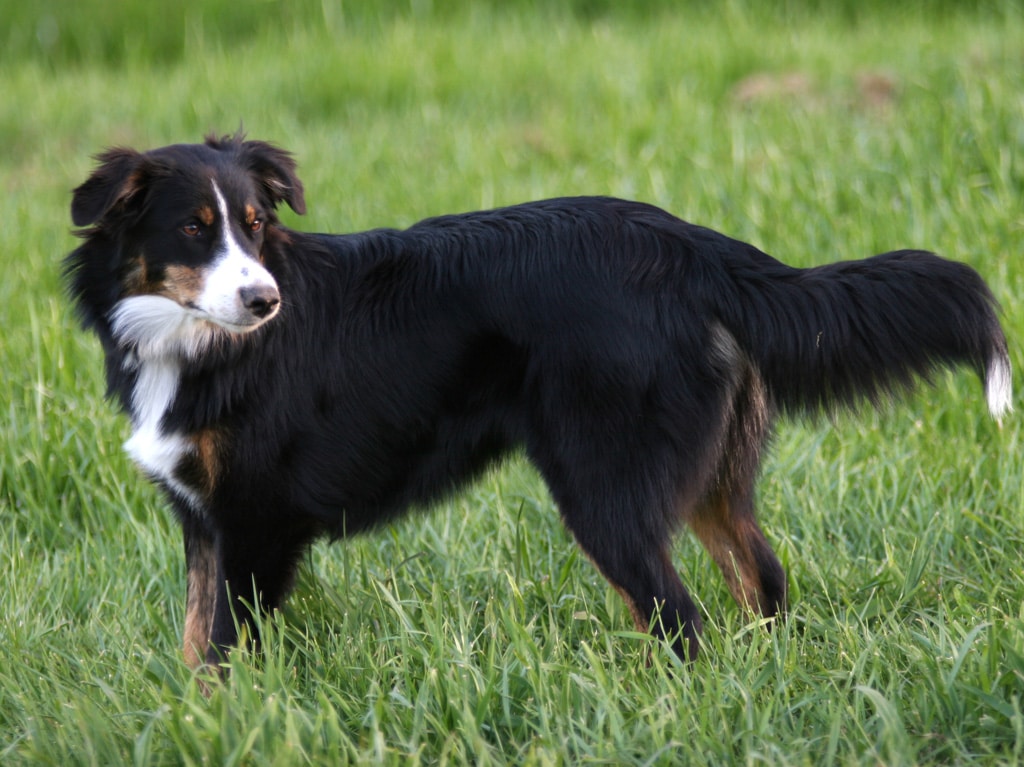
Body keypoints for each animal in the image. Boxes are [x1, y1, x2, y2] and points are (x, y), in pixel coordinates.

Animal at [66, 134, 1015, 671]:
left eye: (258, 224)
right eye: (195, 229)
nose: (265, 301)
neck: (193, 343)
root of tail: (694, 249)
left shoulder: (257, 520)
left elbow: (225, 649)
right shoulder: (207, 522)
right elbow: (196, 641)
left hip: (604, 487)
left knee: (678, 620)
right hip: (712, 479)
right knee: (761, 582)